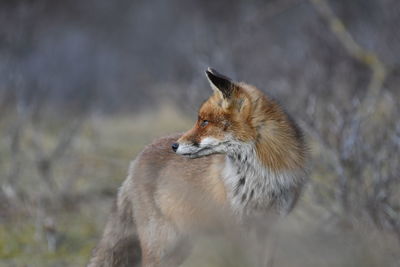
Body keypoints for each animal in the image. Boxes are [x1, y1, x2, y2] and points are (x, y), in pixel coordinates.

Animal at [88, 69, 306, 267]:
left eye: (204, 122)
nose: (174, 146)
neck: (259, 178)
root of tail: (136, 159)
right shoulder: (235, 228)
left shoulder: (270, 227)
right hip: (162, 244)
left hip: (181, 247)